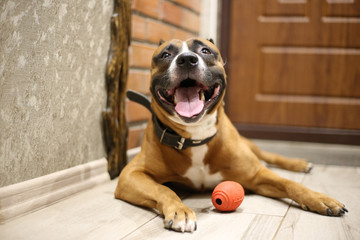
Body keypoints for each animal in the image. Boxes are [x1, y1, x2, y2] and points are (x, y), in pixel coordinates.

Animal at [114, 38, 346, 232]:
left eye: (205, 51)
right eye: (165, 54)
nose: (187, 59)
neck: (196, 136)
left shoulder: (256, 175)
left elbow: (290, 183)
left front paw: (319, 198)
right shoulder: (131, 175)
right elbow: (163, 190)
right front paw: (180, 211)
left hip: (251, 146)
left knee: (270, 156)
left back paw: (300, 164)